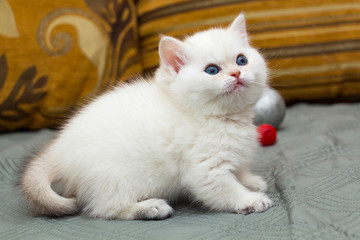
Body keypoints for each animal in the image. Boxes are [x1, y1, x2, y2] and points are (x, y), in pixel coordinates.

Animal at [21, 14, 272, 219]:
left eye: (242, 60)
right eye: (212, 70)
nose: (237, 73)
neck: (222, 118)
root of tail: (58, 151)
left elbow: (239, 170)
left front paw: (251, 182)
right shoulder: (205, 169)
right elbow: (225, 189)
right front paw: (250, 200)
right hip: (114, 177)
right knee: (105, 208)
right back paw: (148, 208)